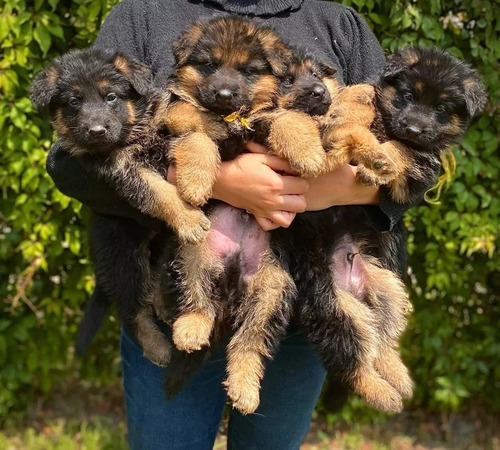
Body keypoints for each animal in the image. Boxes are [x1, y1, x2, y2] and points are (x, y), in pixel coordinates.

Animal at [29, 47, 209, 368]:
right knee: (131, 310)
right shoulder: (124, 172)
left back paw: (163, 303)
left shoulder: (159, 117)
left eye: (111, 96)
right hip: (123, 256)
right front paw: (188, 218)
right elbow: (160, 192)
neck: (132, 133)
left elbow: (179, 114)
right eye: (74, 102)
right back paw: (157, 347)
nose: (97, 131)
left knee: (157, 275)